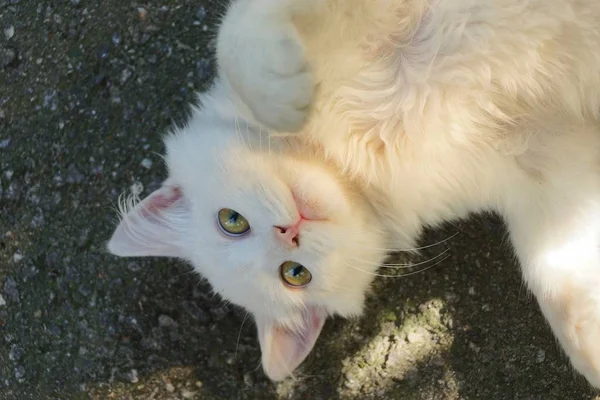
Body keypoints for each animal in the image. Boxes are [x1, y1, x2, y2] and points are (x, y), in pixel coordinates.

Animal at [106, 0, 600, 388]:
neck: (354, 153)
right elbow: (558, 275)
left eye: (231, 221)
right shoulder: (543, 165)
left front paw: (282, 94)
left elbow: (234, 40)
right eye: (295, 274)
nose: (289, 231)